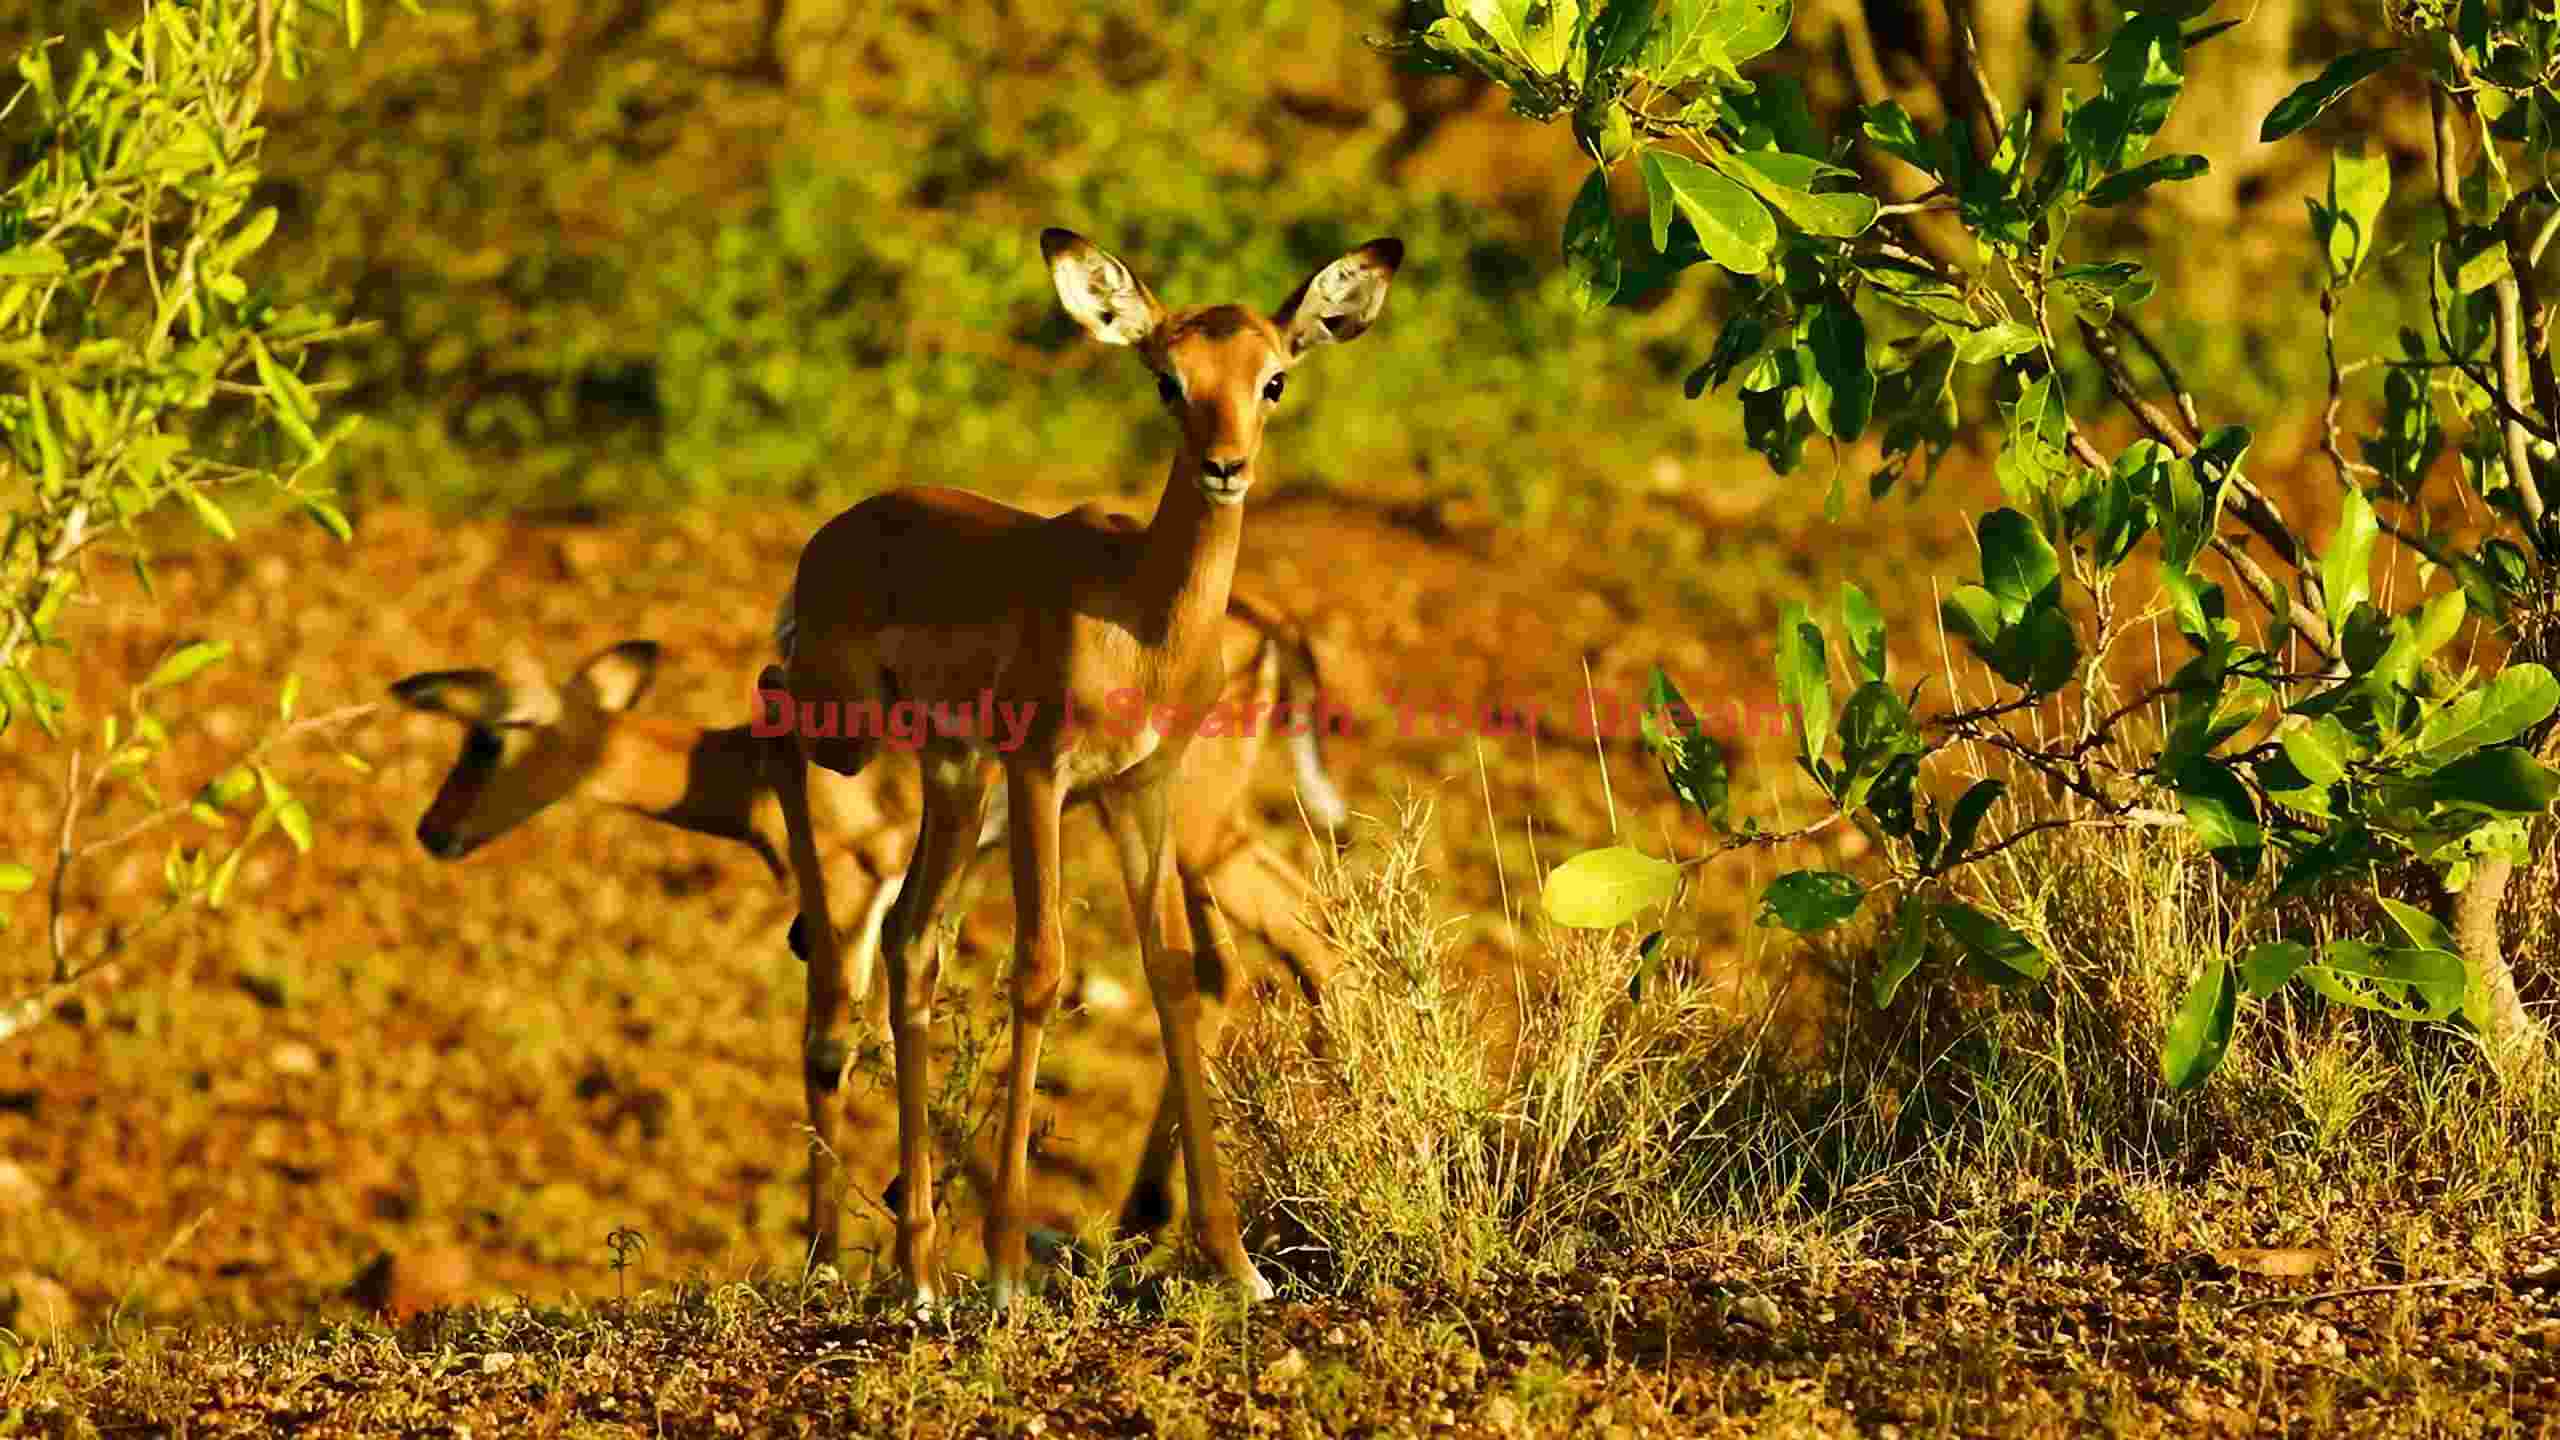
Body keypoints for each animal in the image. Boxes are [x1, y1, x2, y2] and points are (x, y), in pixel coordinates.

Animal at [387, 590, 1351, 1261]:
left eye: (489, 736)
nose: (434, 830)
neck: (751, 760)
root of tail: (1267, 623)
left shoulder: (850, 898)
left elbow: (829, 1048)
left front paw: (828, 1260)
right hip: (1181, 836)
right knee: (1248, 961)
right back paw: (1155, 1217)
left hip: (1188, 826)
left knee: (1307, 938)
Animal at [768, 228, 1400, 1311]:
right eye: (1167, 380)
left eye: (1273, 377)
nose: (1225, 467)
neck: (1137, 618)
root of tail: (837, 534)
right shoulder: (1043, 778)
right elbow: (1039, 970)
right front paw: (1008, 1263)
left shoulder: (1138, 791)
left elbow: (1175, 975)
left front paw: (1235, 1262)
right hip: (861, 736)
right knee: (775, 719)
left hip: (952, 772)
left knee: (910, 940)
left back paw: (920, 1268)